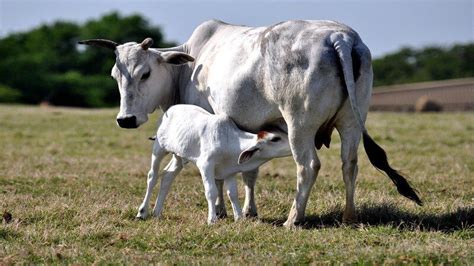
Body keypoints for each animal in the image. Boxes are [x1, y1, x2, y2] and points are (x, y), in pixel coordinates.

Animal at [137, 104, 290, 224]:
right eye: (275, 138)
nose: (292, 144)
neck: (229, 140)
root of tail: (170, 110)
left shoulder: (230, 170)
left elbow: (233, 193)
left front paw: (239, 217)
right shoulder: (206, 165)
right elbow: (211, 191)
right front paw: (212, 219)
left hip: (179, 156)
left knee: (168, 176)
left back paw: (157, 212)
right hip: (159, 149)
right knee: (152, 176)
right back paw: (142, 212)